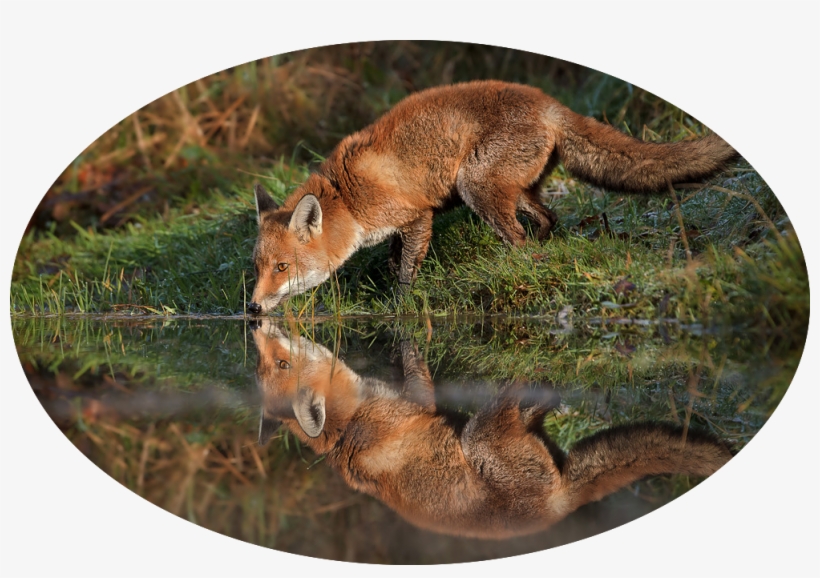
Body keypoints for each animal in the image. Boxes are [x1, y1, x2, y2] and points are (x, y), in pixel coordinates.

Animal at [248, 79, 738, 313]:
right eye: (256, 267)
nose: (251, 308)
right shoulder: (398, 228)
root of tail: (548, 102)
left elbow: (405, 273)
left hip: (475, 186)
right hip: (510, 190)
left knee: (521, 242)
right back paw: (545, 249)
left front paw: (399, 307)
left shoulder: (416, 216)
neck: (346, 197)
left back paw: (517, 267)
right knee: (549, 220)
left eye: (282, 267)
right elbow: (391, 261)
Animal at [252, 318, 733, 539]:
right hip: (480, 439)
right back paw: (528, 378)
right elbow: (421, 376)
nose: (256, 322)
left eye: (276, 363)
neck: (351, 424)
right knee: (509, 411)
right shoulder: (418, 403)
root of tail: (559, 505)